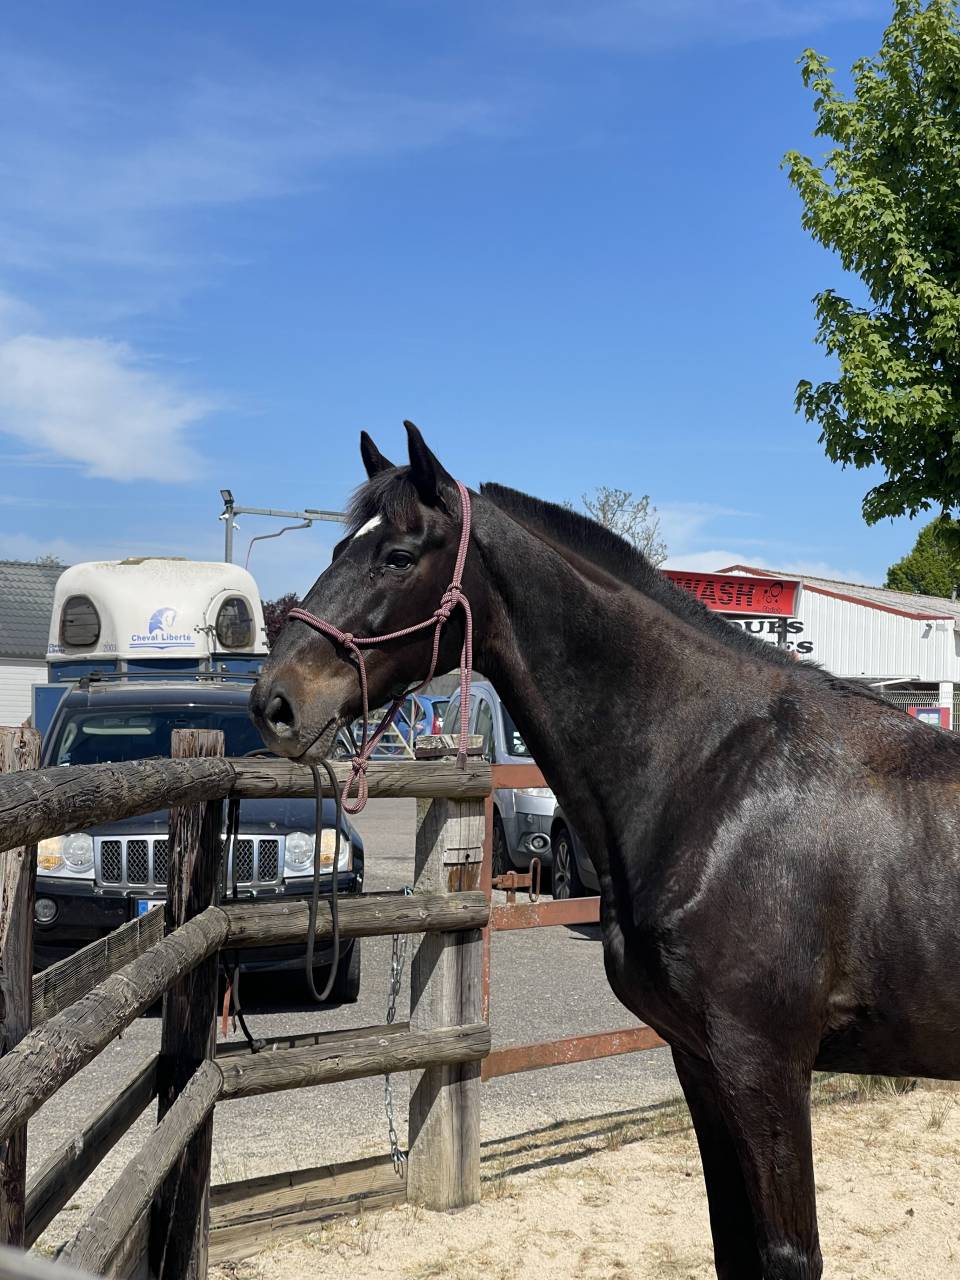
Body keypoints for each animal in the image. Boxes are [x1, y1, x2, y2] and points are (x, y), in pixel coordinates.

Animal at [251, 422, 960, 1280]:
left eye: (397, 555)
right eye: (336, 546)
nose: (274, 701)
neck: (717, 777)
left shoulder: (764, 1066)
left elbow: (788, 1255)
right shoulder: (701, 1062)